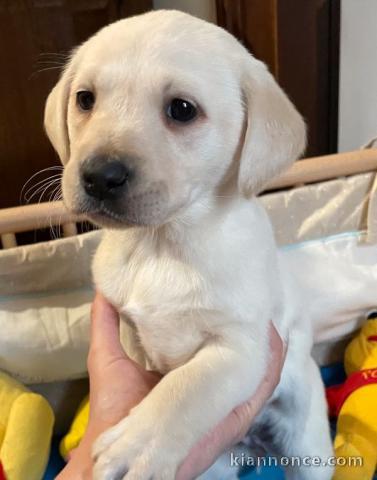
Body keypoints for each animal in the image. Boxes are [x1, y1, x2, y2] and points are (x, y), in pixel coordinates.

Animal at [44, 9, 332, 478]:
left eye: (181, 110)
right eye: (85, 99)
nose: (100, 176)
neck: (163, 244)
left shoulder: (243, 347)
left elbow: (186, 387)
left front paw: (137, 445)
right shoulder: (125, 323)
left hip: (308, 443)